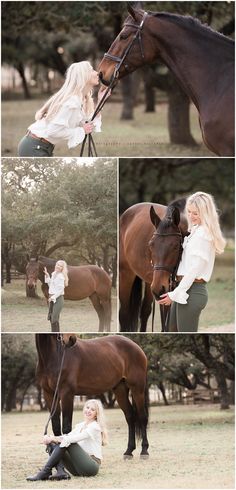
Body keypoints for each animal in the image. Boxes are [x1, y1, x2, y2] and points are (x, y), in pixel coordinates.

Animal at [120, 201, 188, 332]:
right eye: (151, 245)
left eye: (176, 246)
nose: (159, 289)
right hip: (126, 275)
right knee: (124, 313)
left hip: (150, 283)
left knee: (145, 312)